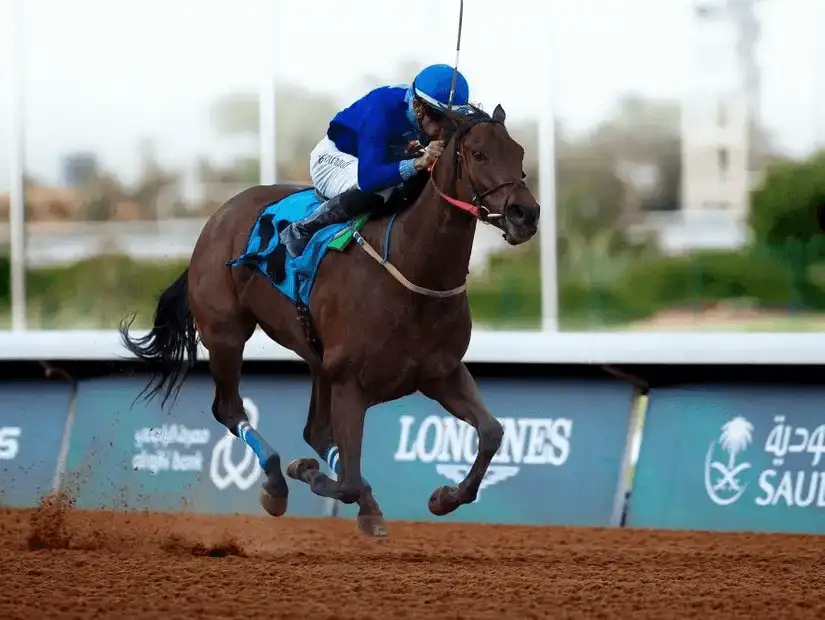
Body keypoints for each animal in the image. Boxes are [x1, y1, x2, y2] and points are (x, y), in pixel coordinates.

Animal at [119, 101, 536, 536]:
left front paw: (444, 498)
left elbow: (492, 432)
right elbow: (348, 481)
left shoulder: (442, 373)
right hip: (226, 334)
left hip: (318, 359)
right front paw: (307, 473)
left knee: (315, 431)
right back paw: (277, 483)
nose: (526, 214)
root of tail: (217, 218)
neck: (413, 270)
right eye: (479, 154)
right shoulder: (351, 382)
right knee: (230, 410)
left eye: (519, 153)